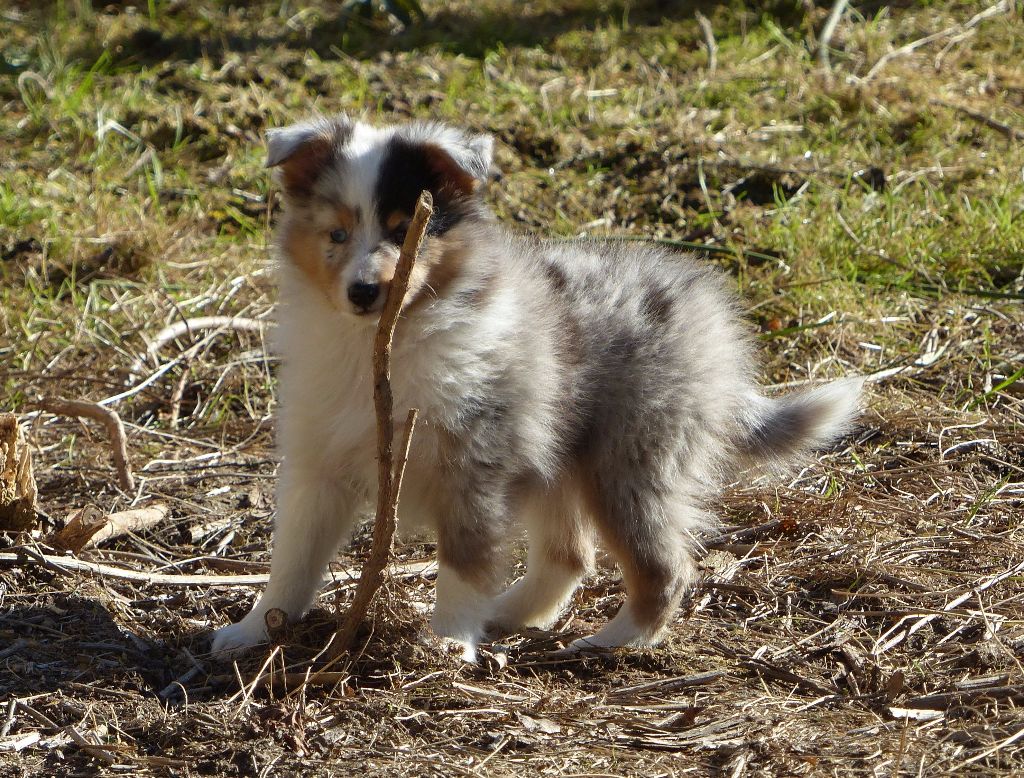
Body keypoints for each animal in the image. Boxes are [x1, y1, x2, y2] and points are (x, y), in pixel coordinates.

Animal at [205, 117, 856, 663]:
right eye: (336, 233)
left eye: (404, 230)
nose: (365, 292)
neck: (390, 341)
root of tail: (710, 322)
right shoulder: (319, 465)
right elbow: (293, 559)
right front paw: (252, 629)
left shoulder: (475, 463)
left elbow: (464, 560)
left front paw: (447, 643)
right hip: (560, 462)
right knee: (569, 557)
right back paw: (508, 615)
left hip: (628, 462)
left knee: (663, 566)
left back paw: (611, 642)